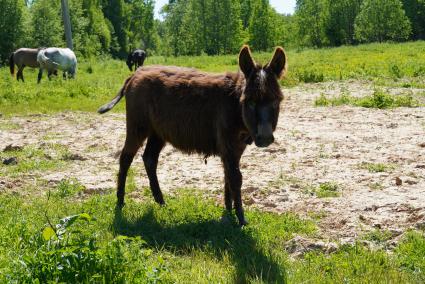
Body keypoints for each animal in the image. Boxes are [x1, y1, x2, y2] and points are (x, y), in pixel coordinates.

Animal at [97, 45, 286, 226]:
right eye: (250, 102)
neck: (234, 105)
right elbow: (235, 178)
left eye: (276, 101)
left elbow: (228, 177)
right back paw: (120, 201)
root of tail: (135, 74)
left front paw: (228, 211)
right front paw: (241, 219)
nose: (265, 138)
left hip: (158, 132)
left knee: (149, 159)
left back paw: (161, 201)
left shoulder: (233, 149)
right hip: (138, 126)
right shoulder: (229, 146)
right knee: (126, 158)